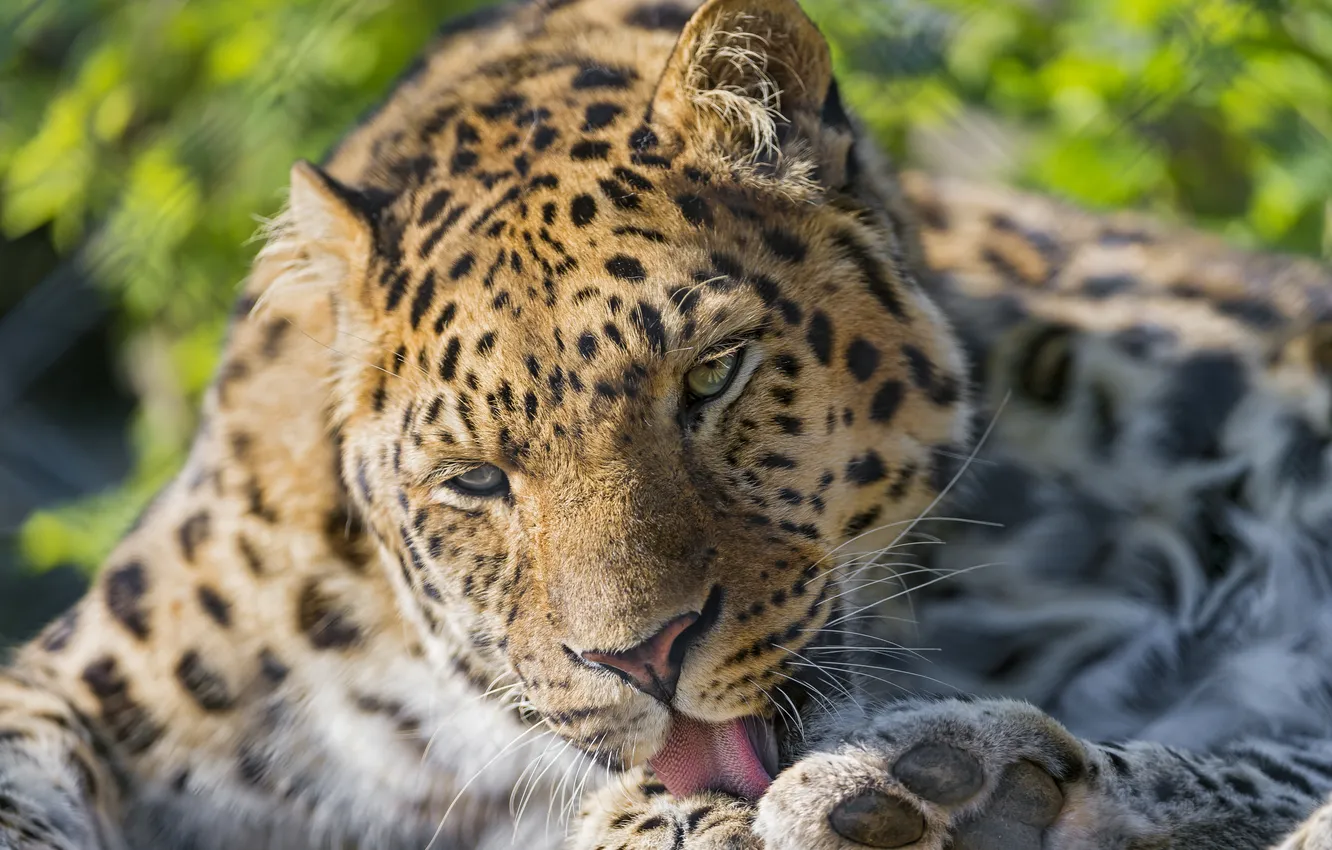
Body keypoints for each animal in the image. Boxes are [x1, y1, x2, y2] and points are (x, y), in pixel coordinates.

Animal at [4, 0, 1332, 849]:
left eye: (713, 376)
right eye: (474, 479)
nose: (642, 657)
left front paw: (686, 815)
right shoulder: (80, 683)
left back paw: (932, 782)